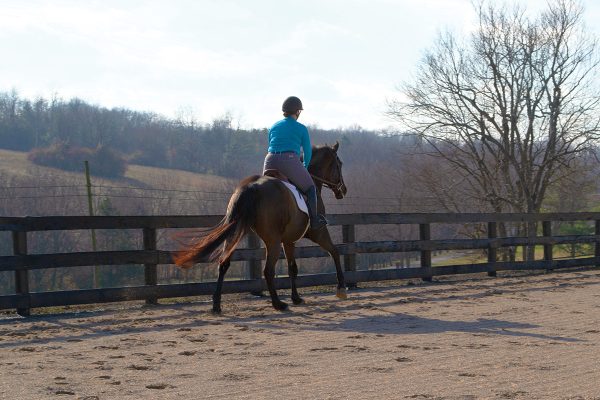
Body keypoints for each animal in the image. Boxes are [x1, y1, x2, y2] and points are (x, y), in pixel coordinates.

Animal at [173, 142, 346, 314]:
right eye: (340, 164)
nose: (343, 190)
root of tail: (251, 186)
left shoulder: (289, 240)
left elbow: (292, 268)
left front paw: (296, 298)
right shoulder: (319, 233)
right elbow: (335, 252)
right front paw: (341, 289)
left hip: (235, 234)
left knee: (223, 264)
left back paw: (216, 304)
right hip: (272, 241)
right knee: (268, 270)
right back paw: (278, 304)